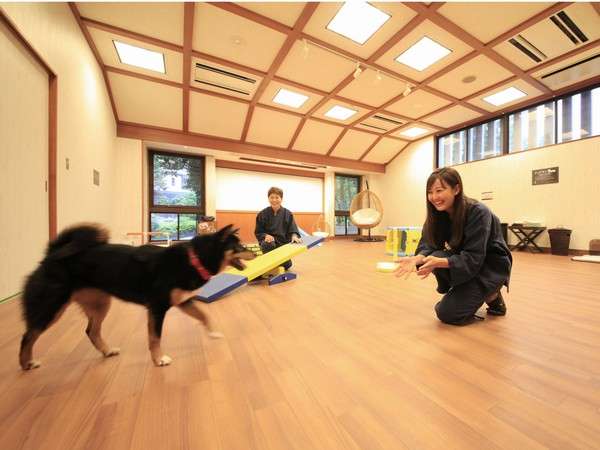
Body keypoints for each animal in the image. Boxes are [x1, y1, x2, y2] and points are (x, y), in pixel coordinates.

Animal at [18, 224, 253, 370]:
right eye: (238, 246)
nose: (255, 252)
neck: (193, 259)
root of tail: (51, 254)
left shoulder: (184, 301)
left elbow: (204, 316)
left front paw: (213, 333)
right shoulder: (158, 307)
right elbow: (155, 337)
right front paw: (159, 360)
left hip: (100, 303)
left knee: (91, 331)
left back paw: (107, 351)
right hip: (52, 306)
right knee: (28, 335)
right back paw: (26, 363)